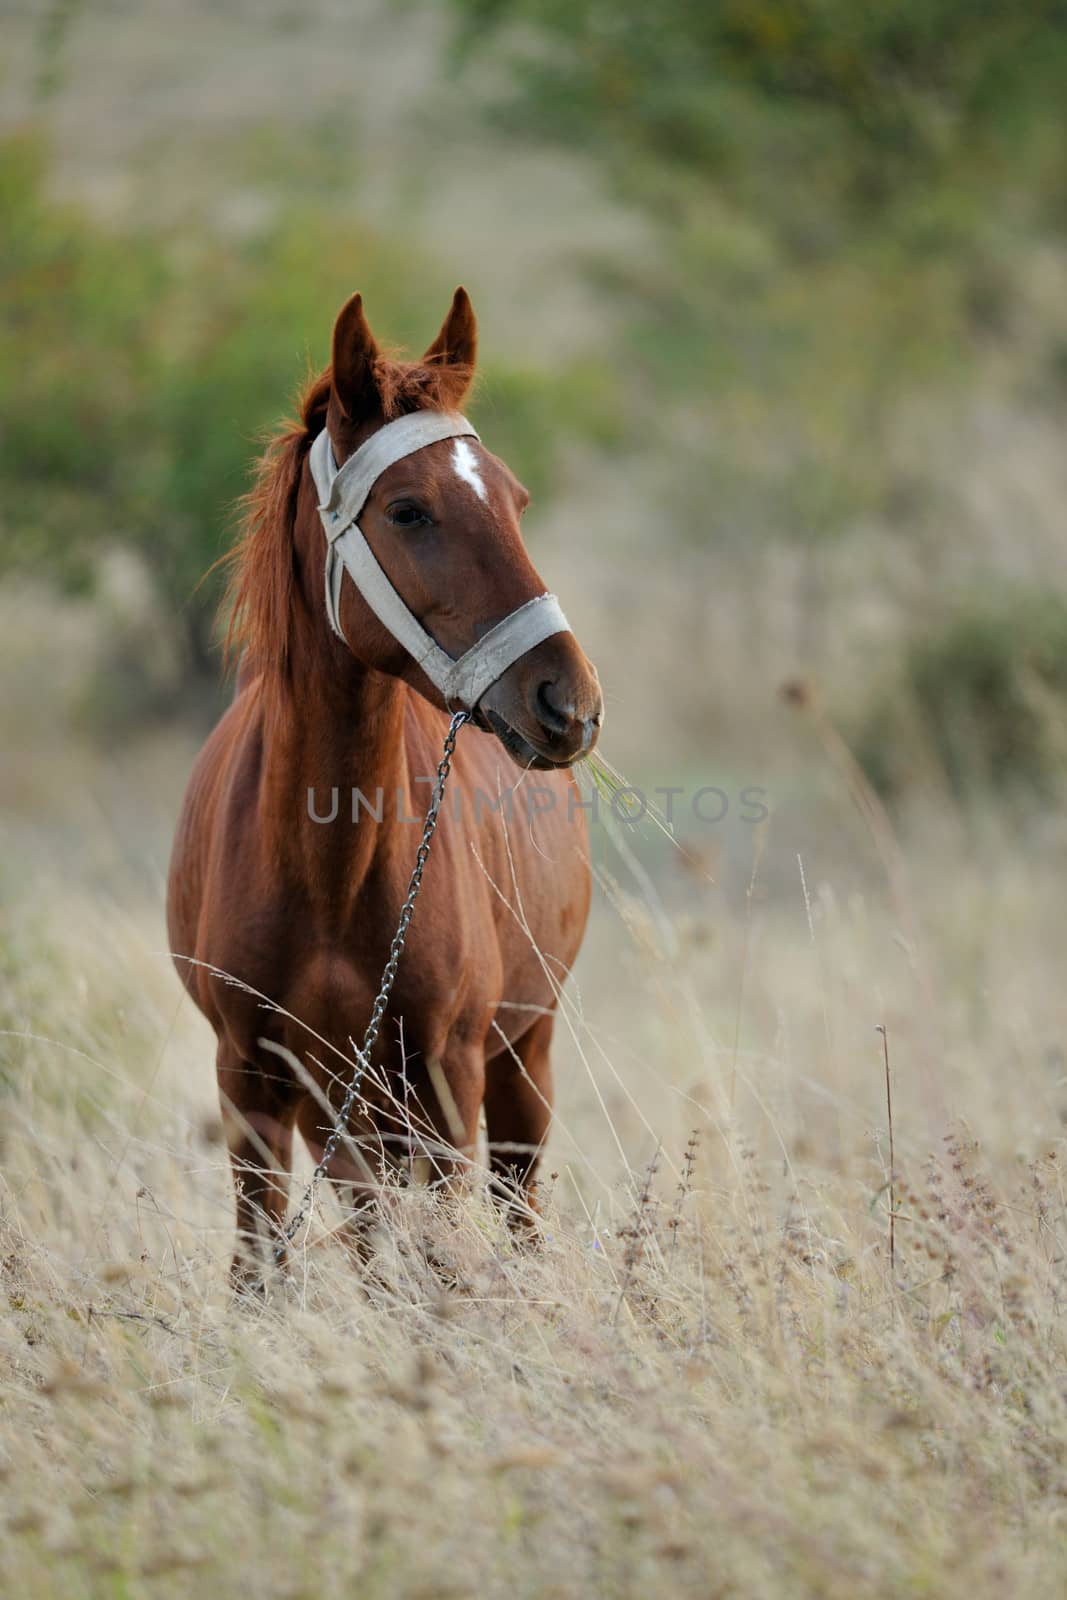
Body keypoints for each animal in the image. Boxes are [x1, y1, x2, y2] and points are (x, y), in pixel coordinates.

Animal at [165, 291, 601, 1286]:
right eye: (408, 510)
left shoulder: (448, 1081)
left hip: (522, 1060)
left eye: (515, 499)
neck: (326, 864)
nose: (569, 702)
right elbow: (261, 1270)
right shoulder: (252, 1081)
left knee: (515, 1209)